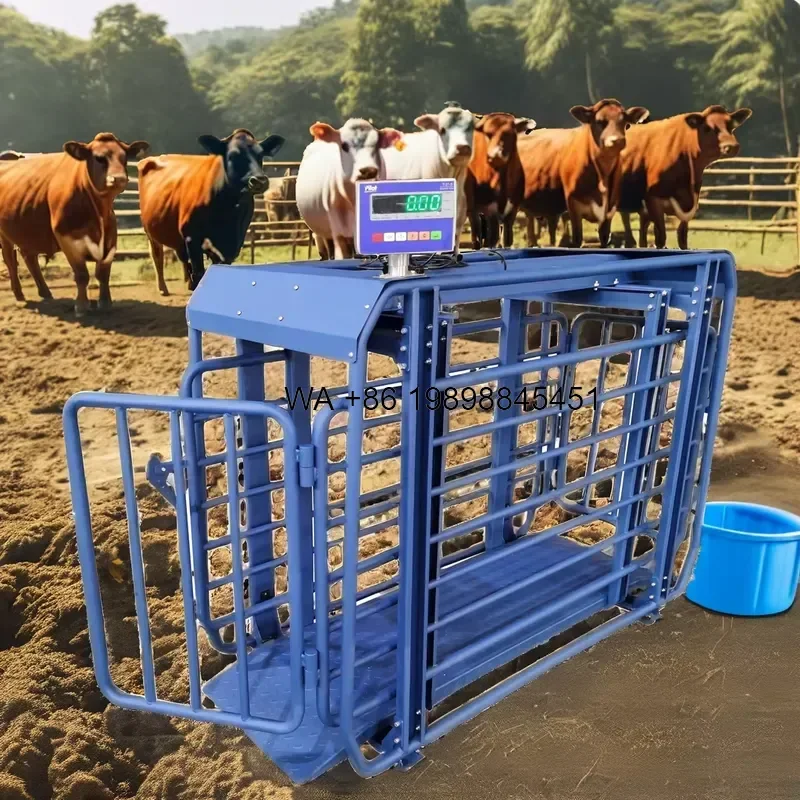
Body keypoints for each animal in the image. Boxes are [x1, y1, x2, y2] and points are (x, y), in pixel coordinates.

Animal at [0, 133, 148, 314]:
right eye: (99, 158)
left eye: (124, 158)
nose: (119, 178)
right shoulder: (67, 238)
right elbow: (81, 274)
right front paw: (81, 305)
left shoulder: (110, 239)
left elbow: (103, 273)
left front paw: (105, 302)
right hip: (4, 235)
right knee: (10, 260)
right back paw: (19, 294)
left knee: (29, 257)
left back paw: (45, 293)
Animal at [138, 128, 284, 294]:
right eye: (232, 156)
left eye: (261, 155)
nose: (259, 180)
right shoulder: (192, 238)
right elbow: (199, 273)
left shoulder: (232, 244)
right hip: (150, 232)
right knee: (157, 256)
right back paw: (163, 288)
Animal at [465, 112, 536, 250]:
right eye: (487, 134)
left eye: (509, 133)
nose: (495, 155)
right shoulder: (490, 206)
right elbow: (493, 235)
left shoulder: (513, 206)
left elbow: (507, 237)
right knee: (476, 227)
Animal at [517, 99, 649, 250]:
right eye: (599, 121)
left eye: (625, 122)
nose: (617, 140)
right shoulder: (573, 204)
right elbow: (577, 239)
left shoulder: (610, 209)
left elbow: (604, 239)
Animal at [617, 105, 753, 249]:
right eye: (707, 128)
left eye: (731, 126)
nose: (732, 146)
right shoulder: (654, 201)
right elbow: (661, 238)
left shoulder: (688, 205)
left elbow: (682, 238)